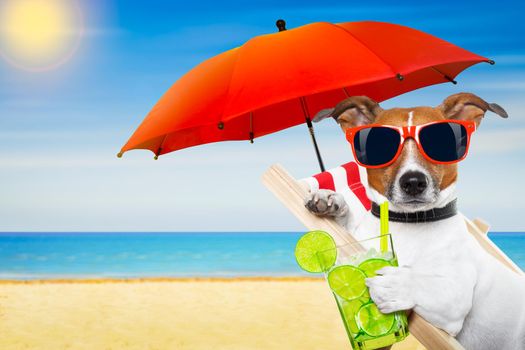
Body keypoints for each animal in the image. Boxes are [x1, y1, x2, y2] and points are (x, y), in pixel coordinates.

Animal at [304, 93, 524, 350]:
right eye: (379, 145)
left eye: (441, 143)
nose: (413, 182)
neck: (408, 223)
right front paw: (330, 200)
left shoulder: (454, 299)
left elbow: (423, 284)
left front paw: (396, 283)